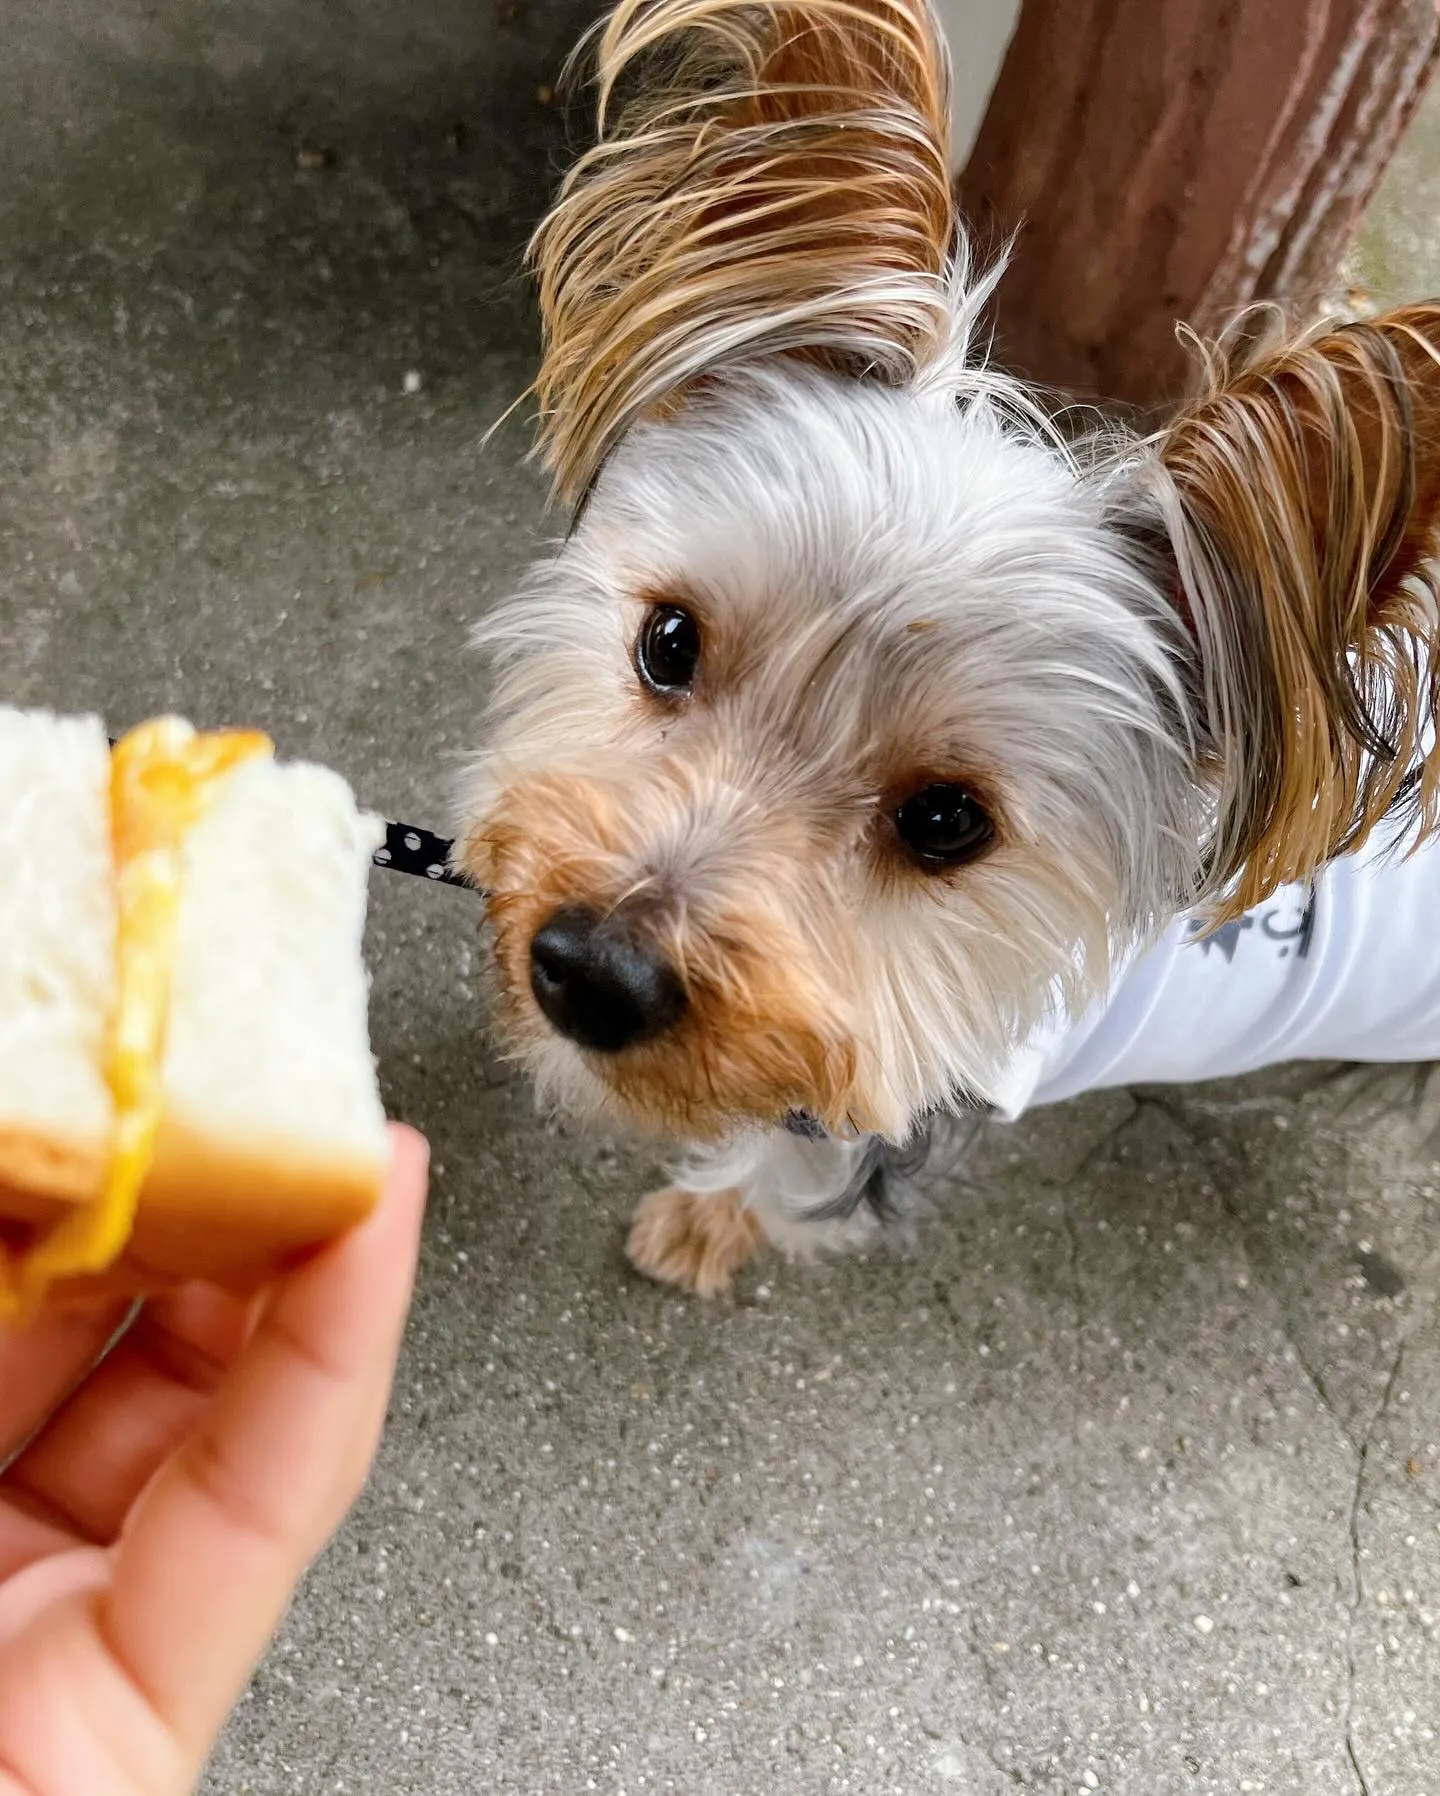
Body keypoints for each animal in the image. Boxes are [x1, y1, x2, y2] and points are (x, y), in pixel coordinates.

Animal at [454, 0, 1436, 1293]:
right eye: (667, 643)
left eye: (945, 821)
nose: (590, 974)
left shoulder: (891, 1096)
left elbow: (790, 1161)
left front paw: (705, 1220)